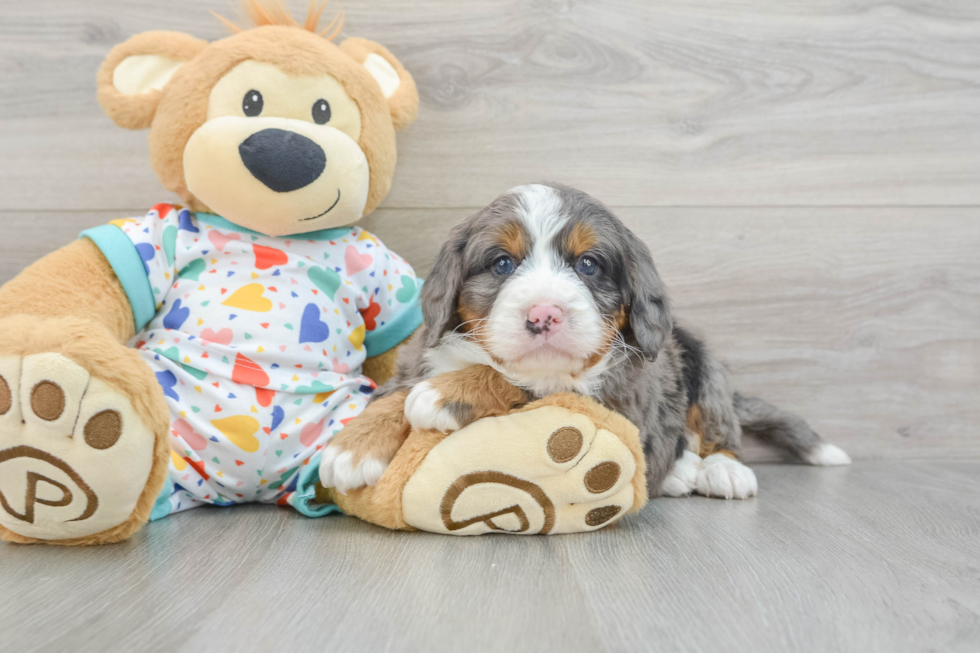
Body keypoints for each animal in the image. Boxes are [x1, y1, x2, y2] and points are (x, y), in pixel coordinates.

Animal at [322, 183, 848, 500]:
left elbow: (519, 381)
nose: (544, 314)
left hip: (704, 361)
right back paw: (679, 473)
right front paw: (352, 448)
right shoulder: (422, 353)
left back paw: (722, 469)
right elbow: (397, 393)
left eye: (588, 265)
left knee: (716, 425)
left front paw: (447, 393)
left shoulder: (611, 398)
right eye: (501, 263)